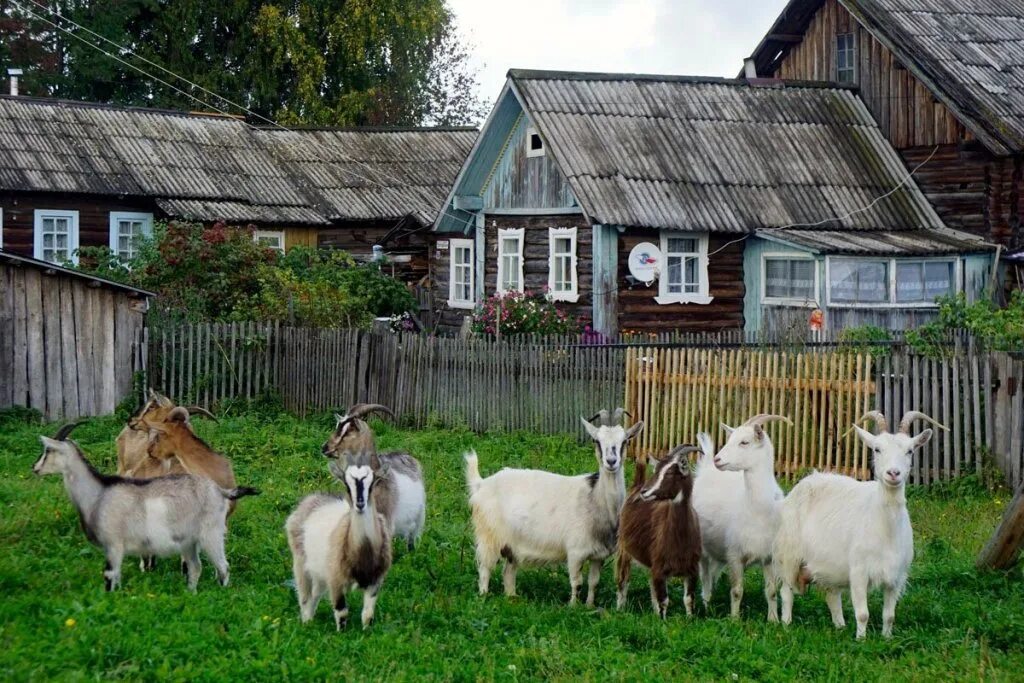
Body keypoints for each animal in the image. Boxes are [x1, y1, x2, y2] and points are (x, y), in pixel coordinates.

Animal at [462, 413, 638, 606]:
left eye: (625, 441)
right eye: (596, 441)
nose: (611, 462)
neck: (595, 498)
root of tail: (481, 484)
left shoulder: (598, 555)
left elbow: (594, 583)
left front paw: (590, 606)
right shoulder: (575, 552)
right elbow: (577, 583)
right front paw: (573, 606)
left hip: (513, 544)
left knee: (508, 572)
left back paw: (512, 598)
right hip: (489, 535)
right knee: (485, 568)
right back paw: (484, 597)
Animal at [614, 444, 704, 618]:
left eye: (669, 473)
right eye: (656, 470)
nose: (645, 492)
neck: (680, 539)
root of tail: (636, 486)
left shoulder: (692, 570)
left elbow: (689, 599)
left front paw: (690, 620)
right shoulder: (659, 568)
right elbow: (663, 600)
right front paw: (662, 622)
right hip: (624, 548)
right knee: (623, 579)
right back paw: (620, 609)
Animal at [688, 413, 790, 622]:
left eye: (744, 442)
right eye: (729, 439)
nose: (718, 460)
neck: (757, 509)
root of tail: (706, 469)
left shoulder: (769, 557)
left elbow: (771, 591)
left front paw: (773, 620)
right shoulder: (735, 555)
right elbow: (736, 591)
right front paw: (734, 620)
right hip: (701, 545)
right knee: (705, 577)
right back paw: (707, 606)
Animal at [770, 411, 937, 643]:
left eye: (910, 450)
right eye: (877, 449)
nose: (893, 473)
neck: (886, 529)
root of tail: (806, 481)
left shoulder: (896, 577)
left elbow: (889, 615)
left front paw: (886, 639)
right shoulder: (858, 572)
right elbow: (863, 613)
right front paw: (861, 641)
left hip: (828, 563)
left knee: (832, 595)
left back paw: (839, 627)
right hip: (789, 554)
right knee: (786, 592)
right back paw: (786, 625)